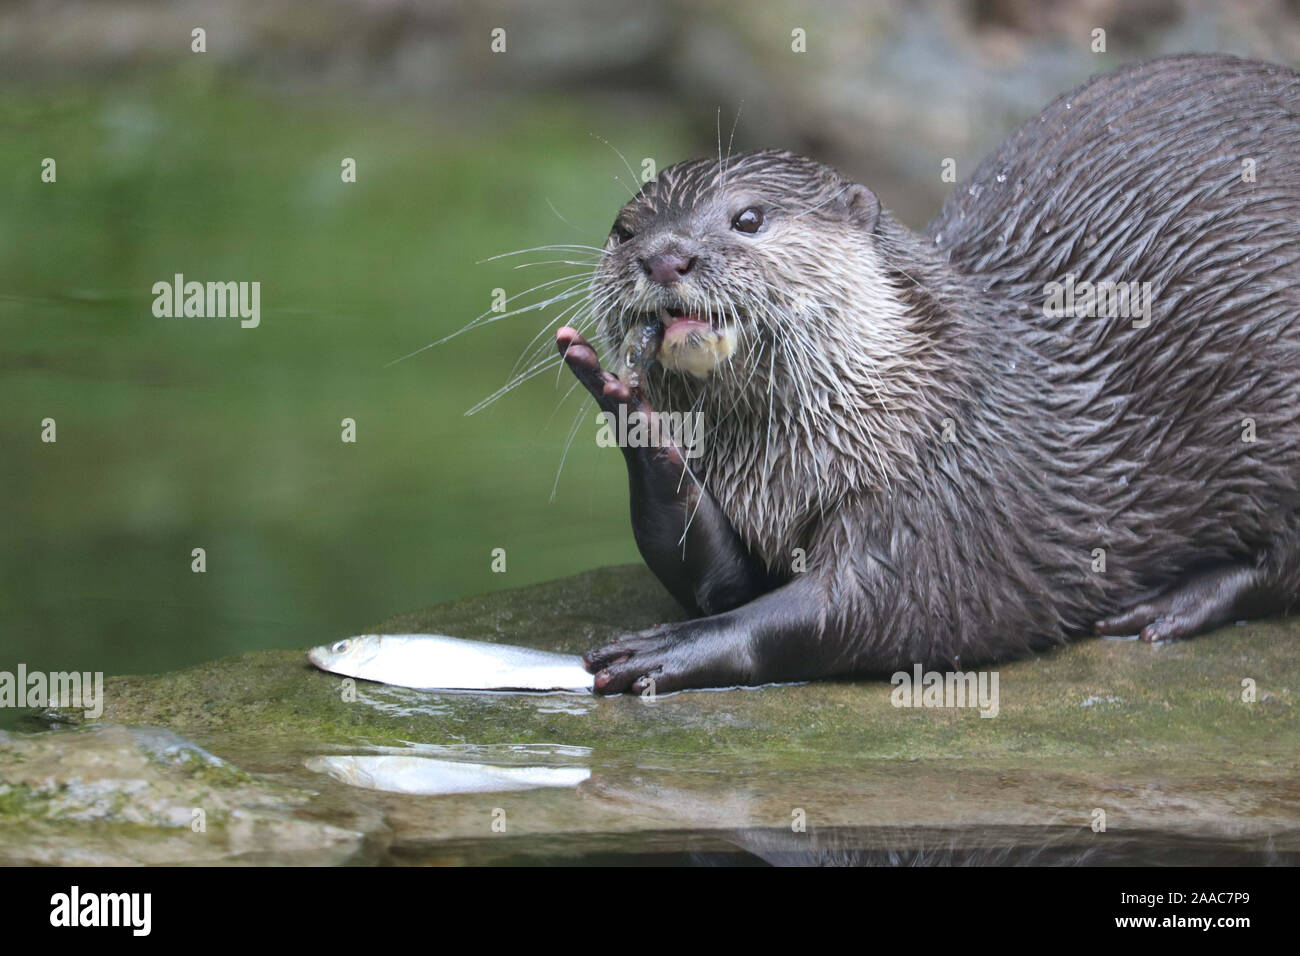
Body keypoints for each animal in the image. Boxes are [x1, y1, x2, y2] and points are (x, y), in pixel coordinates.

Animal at [553, 54, 1300, 694]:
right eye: (623, 229)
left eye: (749, 218)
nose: (663, 255)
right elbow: (720, 579)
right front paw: (630, 414)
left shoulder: (953, 483)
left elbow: (867, 608)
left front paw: (673, 647)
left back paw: (1172, 606)